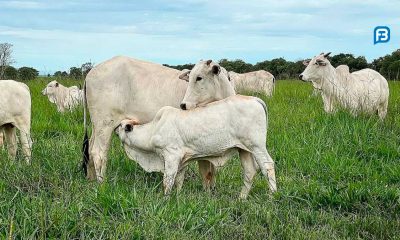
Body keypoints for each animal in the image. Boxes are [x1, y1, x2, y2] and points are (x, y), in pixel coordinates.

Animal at [115, 95, 276, 199]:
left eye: (121, 126)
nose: (115, 129)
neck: (153, 130)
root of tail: (255, 99)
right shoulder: (182, 160)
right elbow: (179, 180)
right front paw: (178, 196)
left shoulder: (171, 156)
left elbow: (168, 181)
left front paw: (165, 199)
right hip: (244, 149)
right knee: (249, 171)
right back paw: (241, 198)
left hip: (257, 146)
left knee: (267, 165)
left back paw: (272, 195)